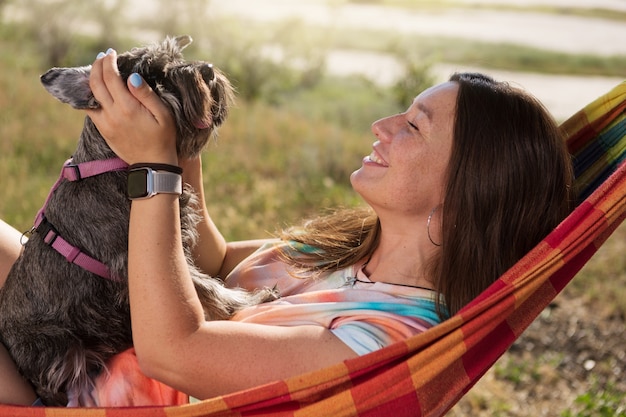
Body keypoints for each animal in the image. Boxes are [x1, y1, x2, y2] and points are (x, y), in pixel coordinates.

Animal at [0, 36, 276, 406]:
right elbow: (209, 290)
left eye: (177, 55)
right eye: (153, 76)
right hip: (60, 351)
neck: (115, 163)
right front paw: (251, 302)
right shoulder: (131, 262)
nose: (206, 69)